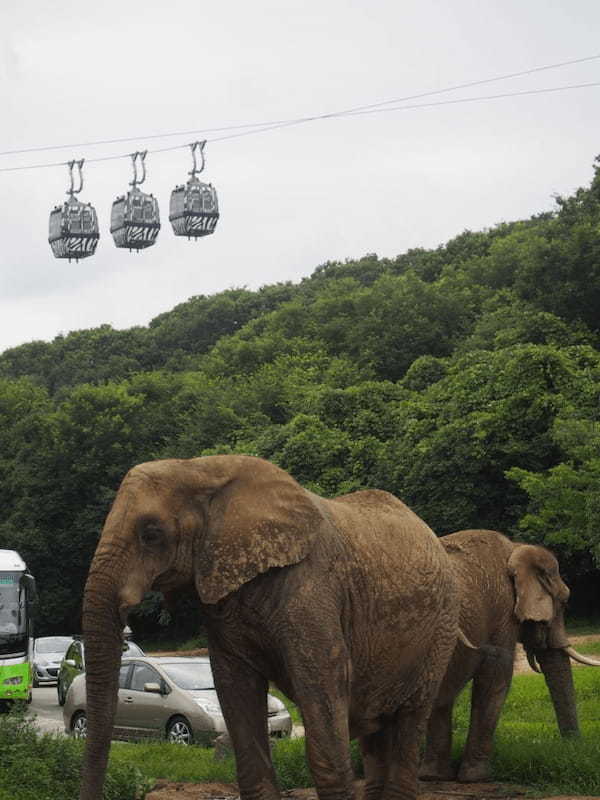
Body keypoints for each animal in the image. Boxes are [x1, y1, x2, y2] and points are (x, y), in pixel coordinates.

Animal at [78, 456, 464, 800]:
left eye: (151, 533)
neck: (201, 467)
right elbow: (235, 686)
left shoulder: (310, 586)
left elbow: (323, 679)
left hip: (441, 628)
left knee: (410, 720)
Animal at [418, 528, 600, 784]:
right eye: (564, 601)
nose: (573, 749)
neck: (516, 547)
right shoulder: (502, 613)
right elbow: (496, 677)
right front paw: (478, 778)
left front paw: (433, 777)